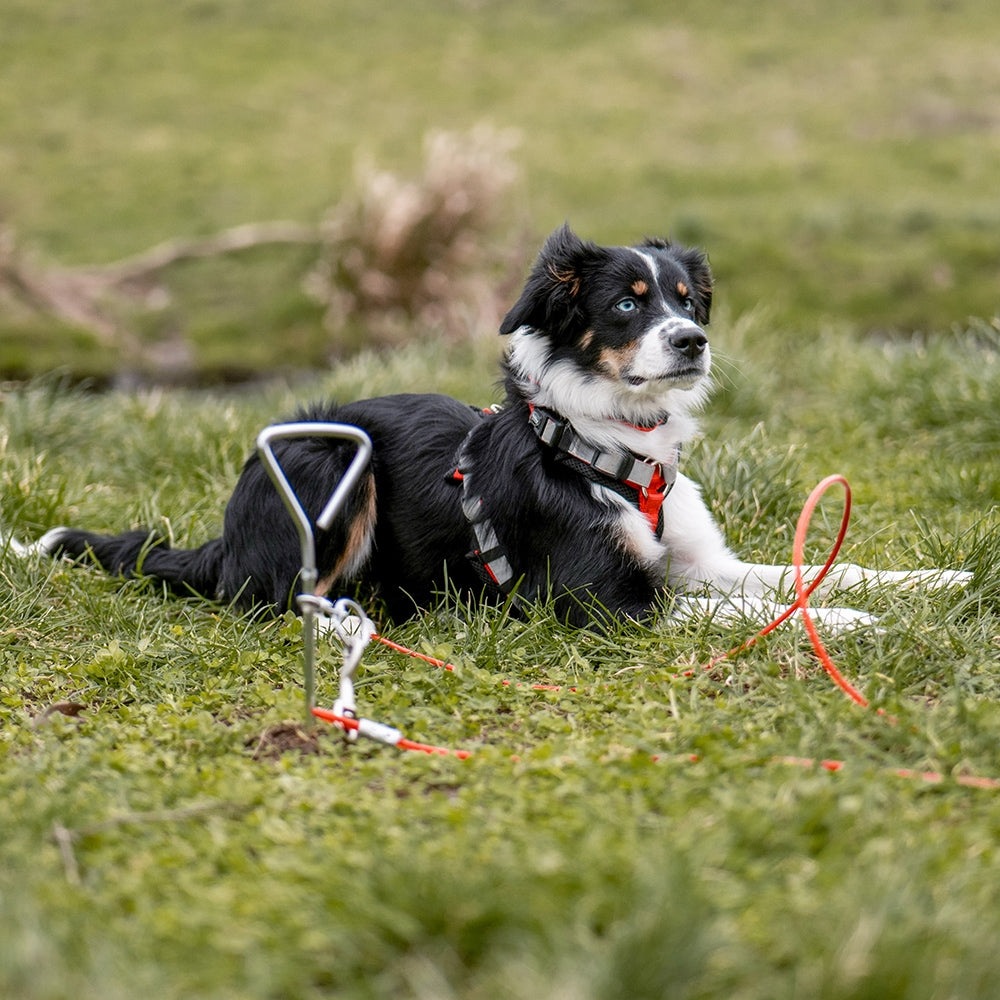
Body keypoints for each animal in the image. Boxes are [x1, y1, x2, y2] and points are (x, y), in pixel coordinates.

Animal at [5, 226, 968, 624]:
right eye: (629, 303)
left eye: (688, 300)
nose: (693, 342)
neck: (610, 447)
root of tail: (221, 538)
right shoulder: (595, 601)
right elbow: (740, 613)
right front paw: (851, 628)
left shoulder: (701, 563)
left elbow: (806, 574)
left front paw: (938, 582)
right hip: (326, 455)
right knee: (275, 597)